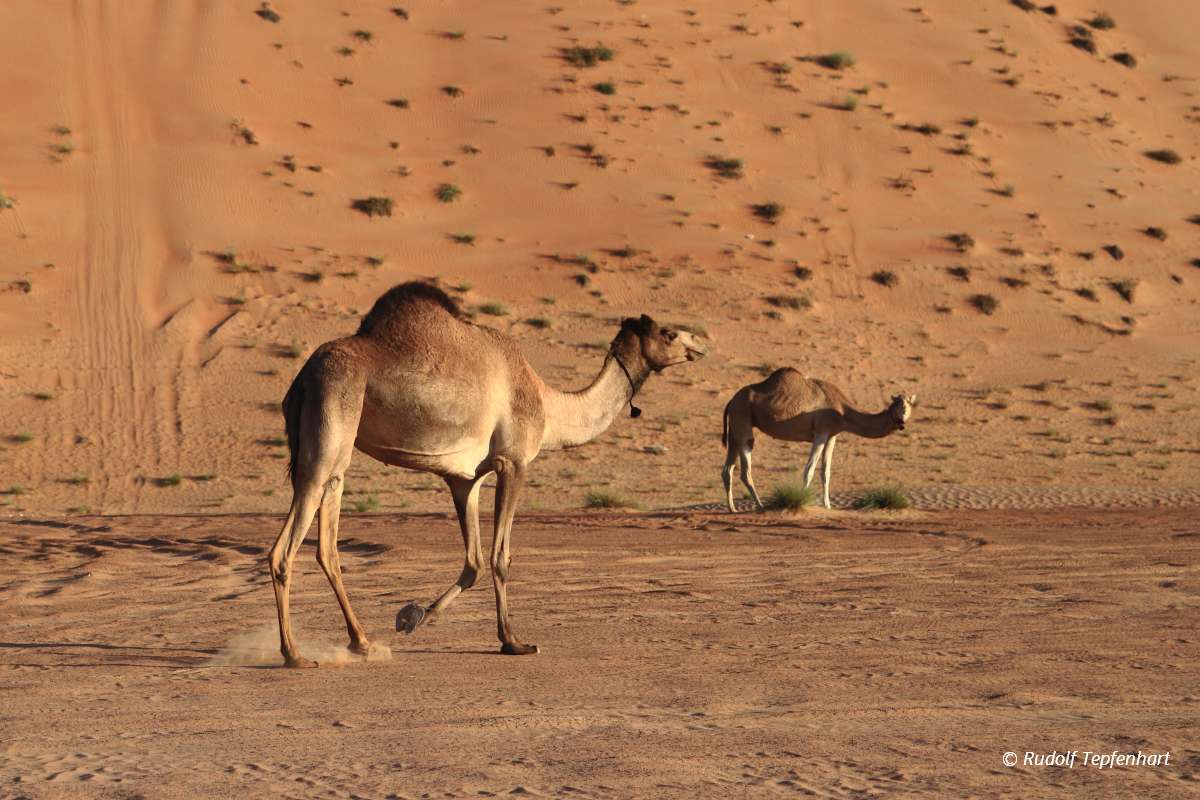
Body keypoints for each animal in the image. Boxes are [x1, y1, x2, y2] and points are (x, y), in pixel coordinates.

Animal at [269, 281, 706, 667]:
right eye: (669, 333)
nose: (699, 344)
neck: (548, 404)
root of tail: (303, 378)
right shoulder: (513, 462)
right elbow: (500, 556)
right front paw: (513, 641)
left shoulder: (465, 480)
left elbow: (474, 561)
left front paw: (414, 616)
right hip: (332, 421)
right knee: (285, 548)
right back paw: (295, 655)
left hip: (330, 448)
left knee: (327, 544)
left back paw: (361, 642)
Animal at [720, 368, 914, 511]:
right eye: (897, 405)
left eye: (909, 405)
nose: (902, 419)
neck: (842, 409)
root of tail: (730, 401)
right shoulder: (820, 433)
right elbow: (809, 470)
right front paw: (803, 501)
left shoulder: (832, 435)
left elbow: (825, 472)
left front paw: (828, 506)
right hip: (742, 417)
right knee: (745, 468)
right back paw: (760, 506)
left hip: (735, 427)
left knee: (727, 469)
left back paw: (732, 508)